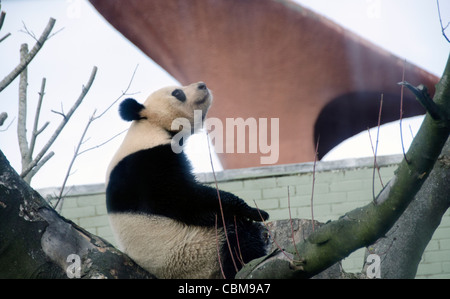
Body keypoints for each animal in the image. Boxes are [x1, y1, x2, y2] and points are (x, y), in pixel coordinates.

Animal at [105, 81, 268, 278]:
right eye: (177, 93)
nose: (202, 85)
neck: (151, 127)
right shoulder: (146, 165)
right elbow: (185, 197)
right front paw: (256, 212)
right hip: (198, 250)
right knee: (237, 236)